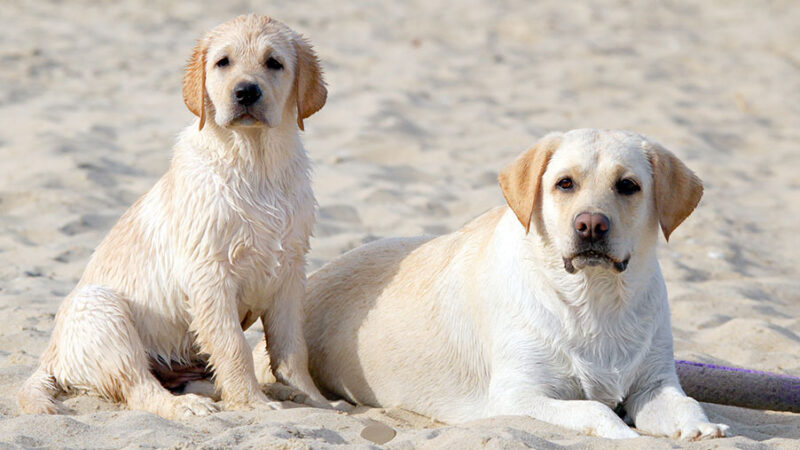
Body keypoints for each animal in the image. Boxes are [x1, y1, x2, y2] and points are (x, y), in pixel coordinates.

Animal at [19, 14, 332, 422]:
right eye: (223, 62)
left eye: (274, 63)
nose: (246, 92)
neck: (255, 164)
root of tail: (49, 357)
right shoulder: (210, 275)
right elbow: (234, 346)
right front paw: (251, 403)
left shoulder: (290, 270)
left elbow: (292, 347)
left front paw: (314, 399)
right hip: (102, 310)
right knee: (139, 388)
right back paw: (188, 406)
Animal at [296, 130, 728, 440]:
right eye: (565, 184)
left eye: (628, 185)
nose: (590, 225)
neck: (595, 300)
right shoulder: (515, 394)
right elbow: (595, 409)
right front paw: (626, 435)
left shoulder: (654, 383)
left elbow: (687, 404)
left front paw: (701, 428)